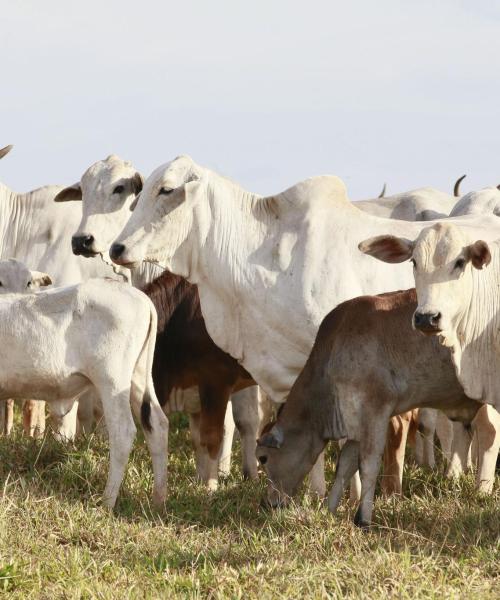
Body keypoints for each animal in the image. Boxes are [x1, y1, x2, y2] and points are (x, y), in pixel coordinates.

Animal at [0, 260, 167, 508]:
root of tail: (141, 298)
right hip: (137, 376)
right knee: (157, 425)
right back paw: (158, 501)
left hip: (112, 381)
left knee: (123, 432)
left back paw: (107, 502)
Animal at [256, 288, 490, 528]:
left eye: (263, 458)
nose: (267, 503)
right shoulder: (354, 423)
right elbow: (344, 466)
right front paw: (329, 509)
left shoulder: (374, 411)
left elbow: (368, 464)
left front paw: (363, 518)